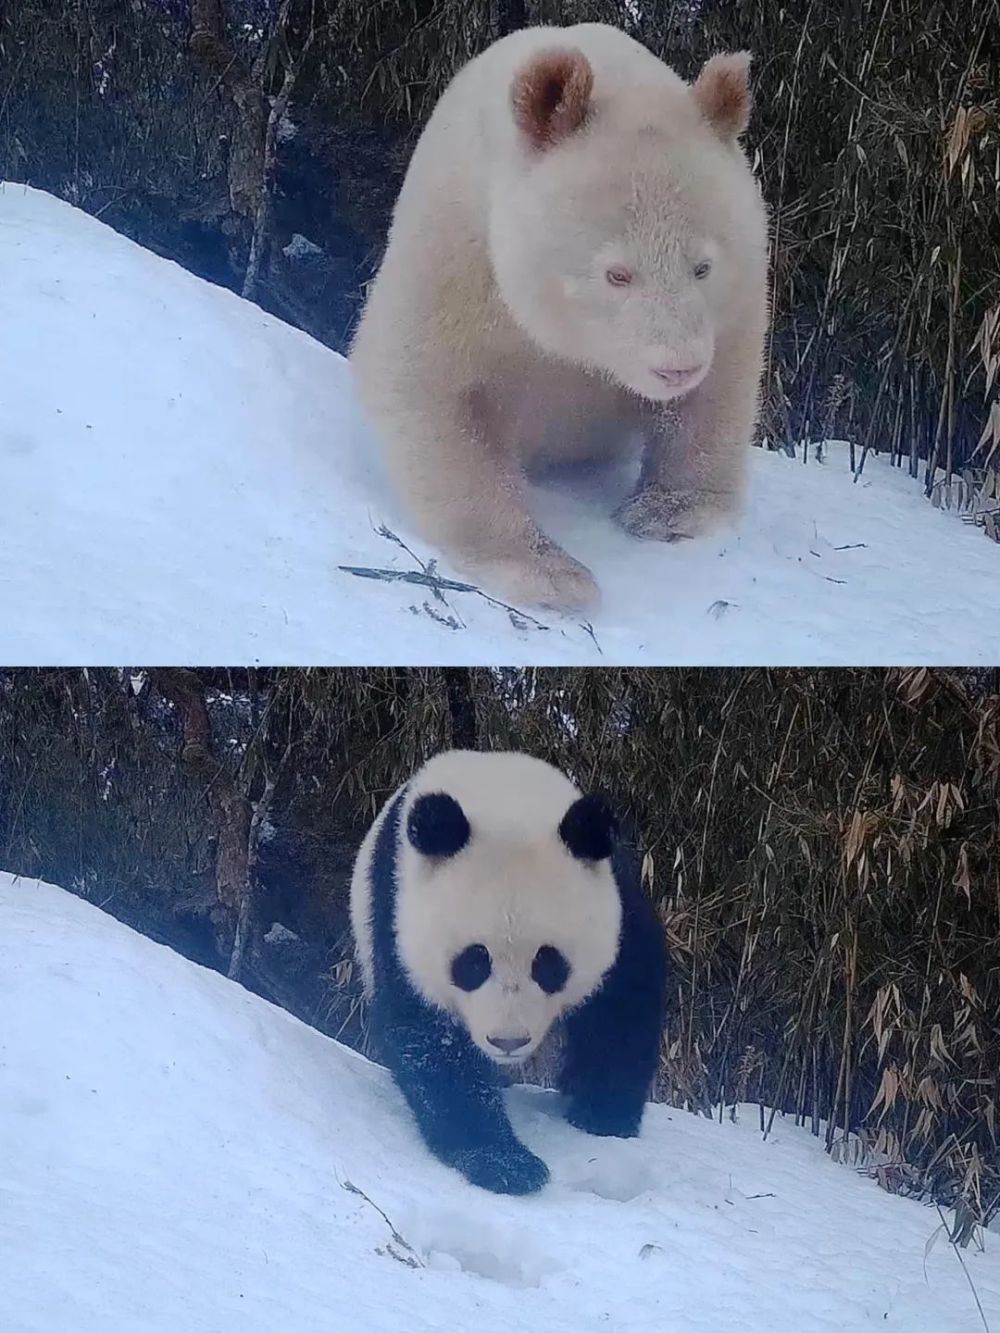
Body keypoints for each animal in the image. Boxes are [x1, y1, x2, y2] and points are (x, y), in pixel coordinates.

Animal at [349, 22, 770, 613]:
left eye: (703, 267)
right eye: (617, 274)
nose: (677, 369)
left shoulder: (738, 288)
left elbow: (721, 383)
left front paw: (669, 511)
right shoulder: (458, 250)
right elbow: (429, 385)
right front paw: (550, 573)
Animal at [349, 749, 668, 1195]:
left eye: (550, 964)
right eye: (473, 962)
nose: (508, 1041)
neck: (505, 799)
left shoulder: (618, 904)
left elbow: (623, 1002)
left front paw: (603, 1116)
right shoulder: (397, 916)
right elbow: (428, 1037)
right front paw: (505, 1163)